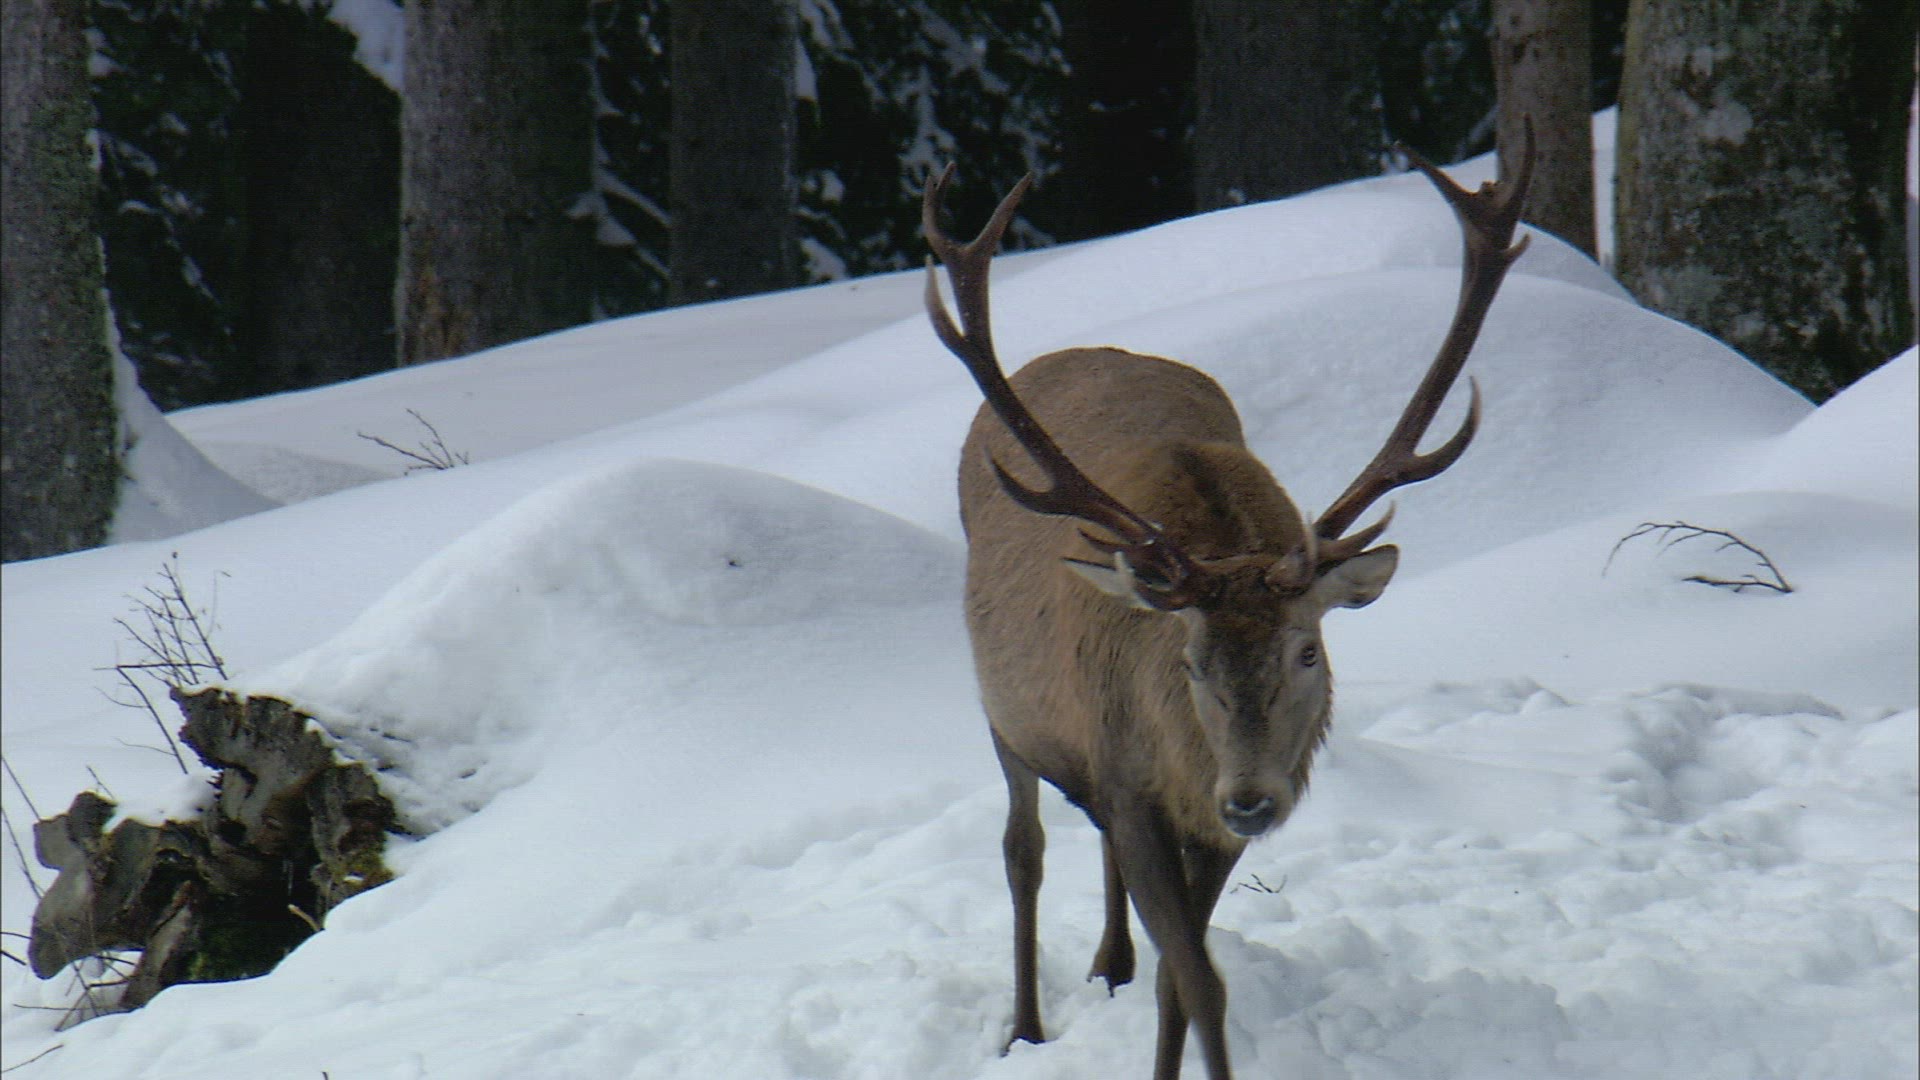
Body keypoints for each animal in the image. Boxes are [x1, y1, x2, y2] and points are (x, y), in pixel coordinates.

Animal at [920, 136, 1533, 1080]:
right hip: (1005, 714)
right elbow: (1200, 979)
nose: (1249, 799)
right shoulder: (1134, 784)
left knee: (1097, 861)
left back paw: (1109, 965)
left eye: (1309, 652)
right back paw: (1023, 1026)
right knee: (1024, 848)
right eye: (1190, 661)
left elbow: (1183, 978)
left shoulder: (1211, 813)